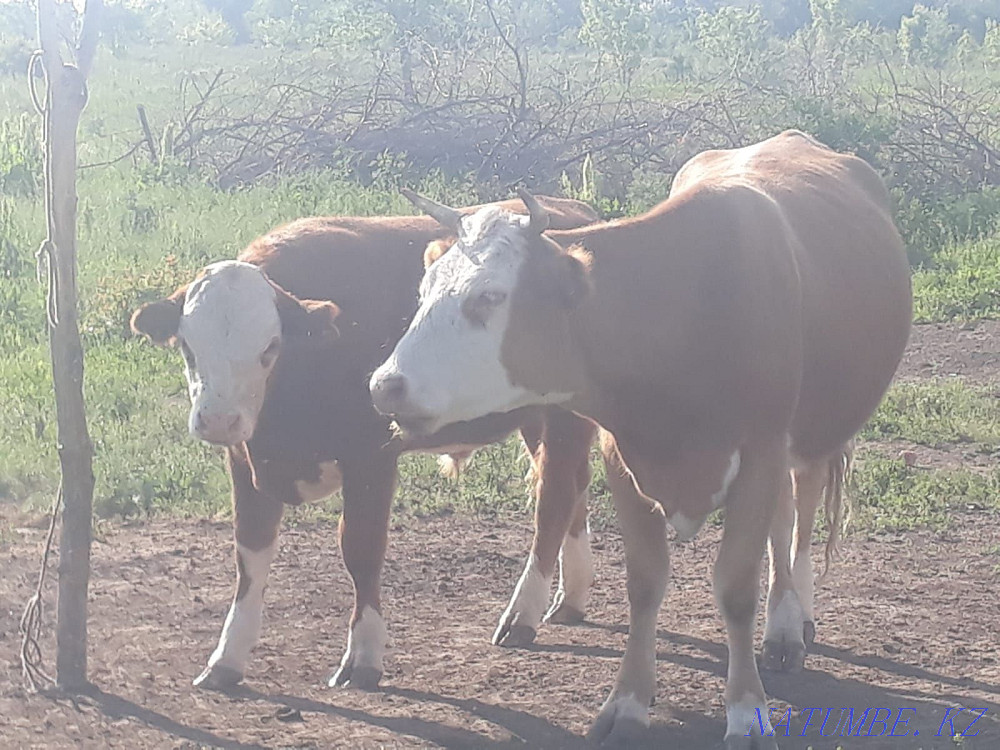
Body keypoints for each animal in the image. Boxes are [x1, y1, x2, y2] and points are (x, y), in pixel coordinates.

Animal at [129, 196, 600, 692]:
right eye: (188, 347)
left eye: (269, 347)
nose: (218, 419)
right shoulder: (243, 459)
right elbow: (250, 556)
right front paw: (227, 658)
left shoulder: (371, 460)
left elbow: (361, 550)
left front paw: (364, 656)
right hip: (538, 418)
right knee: (573, 488)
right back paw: (571, 597)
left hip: (564, 417)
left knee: (554, 499)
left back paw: (523, 614)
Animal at [369, 131, 912, 747]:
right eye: (425, 289)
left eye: (489, 296)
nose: (384, 384)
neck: (681, 311)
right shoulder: (622, 458)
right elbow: (645, 585)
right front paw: (627, 703)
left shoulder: (761, 451)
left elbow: (736, 589)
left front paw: (747, 711)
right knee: (781, 519)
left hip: (810, 438)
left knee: (798, 519)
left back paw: (789, 624)